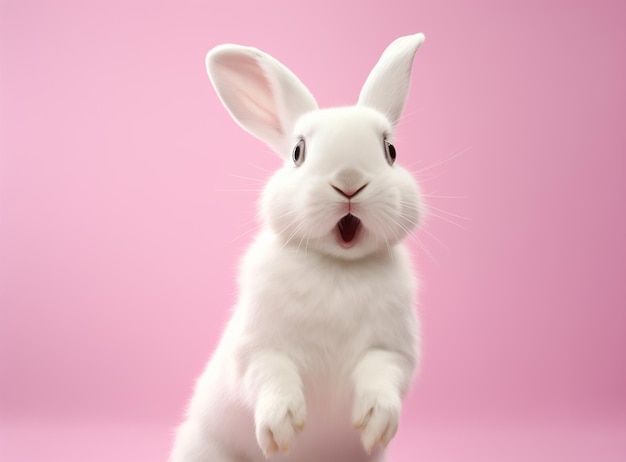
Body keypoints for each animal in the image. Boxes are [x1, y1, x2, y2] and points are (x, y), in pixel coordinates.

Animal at [169, 32, 424, 462]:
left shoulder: (393, 350)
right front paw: (281, 427)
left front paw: (375, 420)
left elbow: (382, 374)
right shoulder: (257, 347)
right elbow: (272, 374)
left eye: (390, 152)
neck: (338, 267)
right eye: (297, 152)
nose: (349, 180)